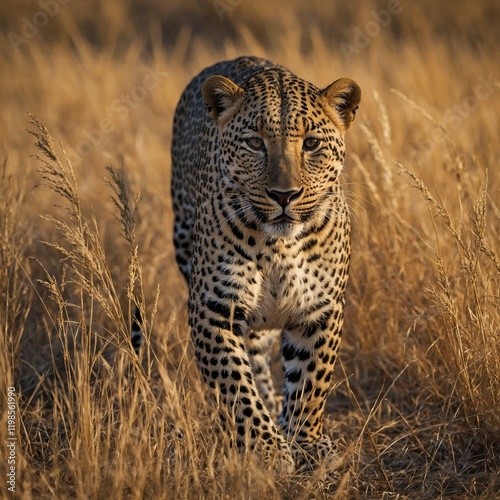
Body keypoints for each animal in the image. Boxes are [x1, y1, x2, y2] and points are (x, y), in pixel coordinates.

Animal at [170, 55, 362, 472]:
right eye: (255, 143)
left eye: (311, 144)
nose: (284, 195)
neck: (279, 246)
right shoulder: (213, 309)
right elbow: (235, 385)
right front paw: (267, 450)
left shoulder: (321, 310)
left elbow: (311, 382)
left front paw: (305, 443)